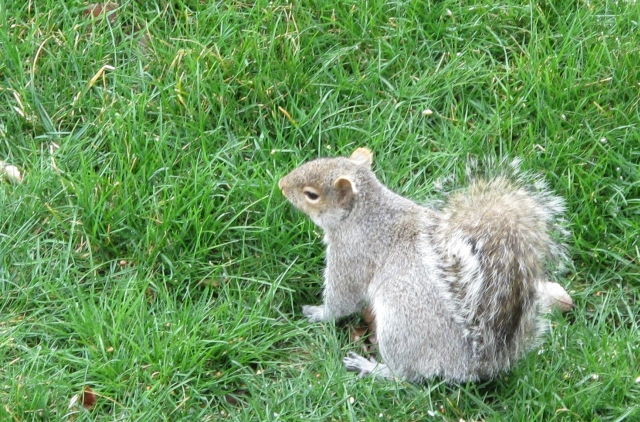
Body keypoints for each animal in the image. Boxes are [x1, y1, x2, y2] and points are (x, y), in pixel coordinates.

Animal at [278, 148, 572, 382]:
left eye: (311, 194)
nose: (281, 184)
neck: (366, 213)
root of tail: (472, 365)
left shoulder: (352, 255)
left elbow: (342, 301)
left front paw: (318, 313)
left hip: (398, 328)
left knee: (405, 375)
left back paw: (372, 368)